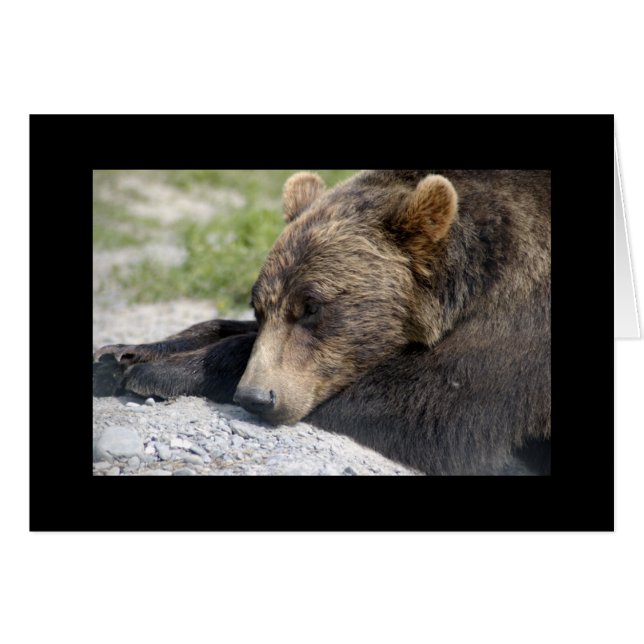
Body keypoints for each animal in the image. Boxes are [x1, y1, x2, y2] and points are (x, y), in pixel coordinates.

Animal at [94, 170, 551, 475]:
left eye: (312, 307)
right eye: (258, 307)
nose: (257, 396)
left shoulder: (521, 322)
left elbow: (428, 409)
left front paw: (159, 371)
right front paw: (119, 355)